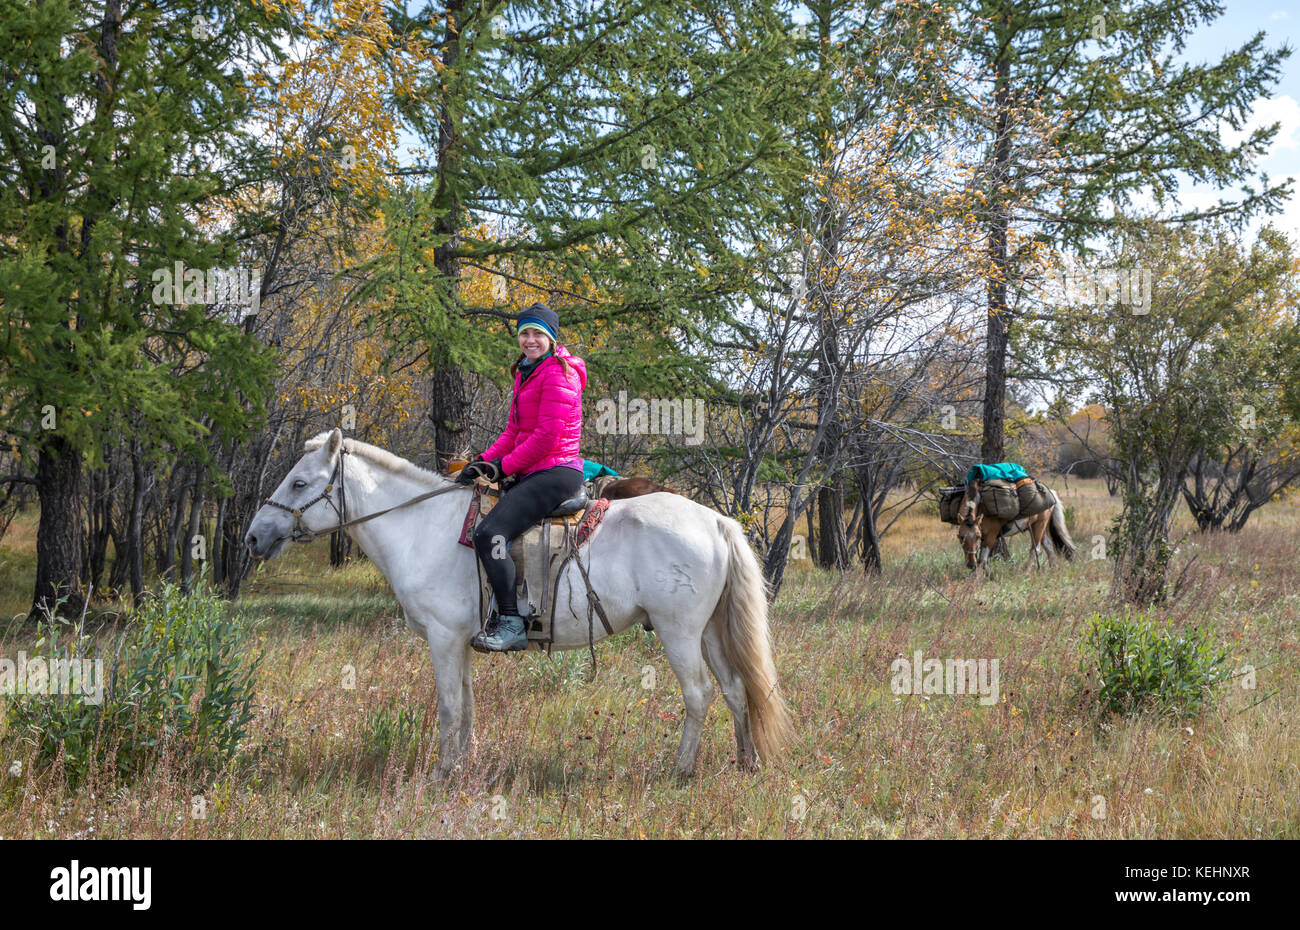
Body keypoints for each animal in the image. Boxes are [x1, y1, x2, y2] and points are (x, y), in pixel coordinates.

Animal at [244, 429, 790, 780]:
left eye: (299, 483)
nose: (253, 538)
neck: (423, 528)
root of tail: (715, 520)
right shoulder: (461, 641)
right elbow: (466, 705)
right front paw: (462, 767)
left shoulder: (443, 638)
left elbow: (448, 706)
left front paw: (441, 774)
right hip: (709, 631)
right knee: (735, 690)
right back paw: (747, 763)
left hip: (678, 632)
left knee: (699, 694)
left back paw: (680, 770)